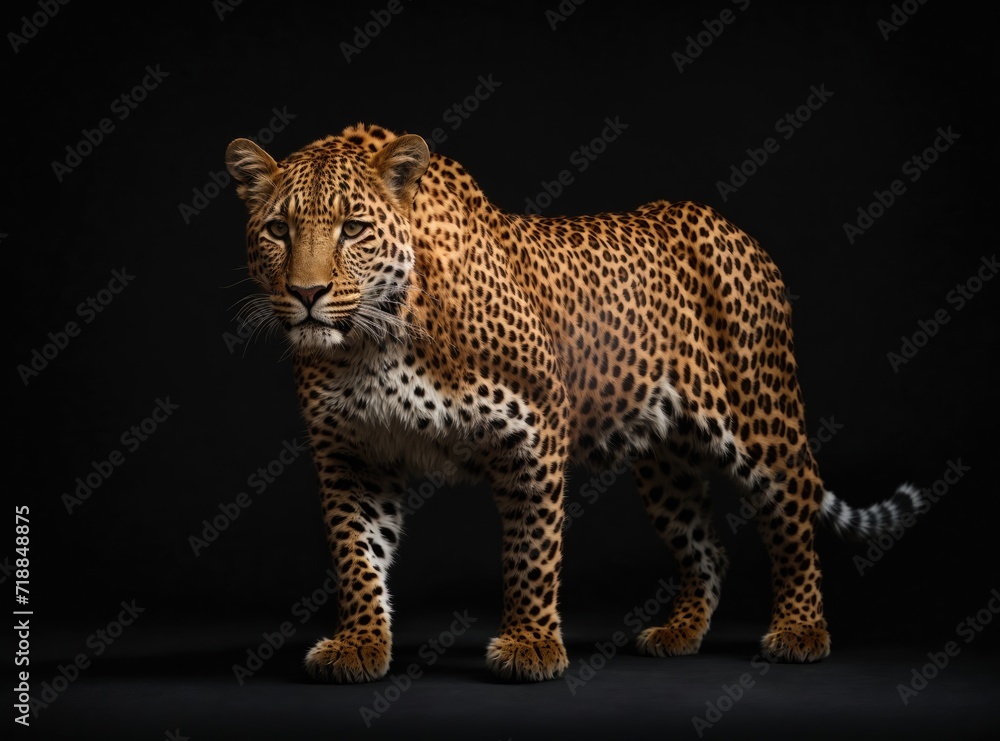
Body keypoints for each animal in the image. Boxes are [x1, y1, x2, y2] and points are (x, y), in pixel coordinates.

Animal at [224, 122, 925, 683]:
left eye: (354, 229)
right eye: (278, 230)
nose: (307, 293)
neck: (374, 342)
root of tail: (733, 229)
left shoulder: (532, 427)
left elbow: (533, 550)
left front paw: (531, 646)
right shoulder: (352, 454)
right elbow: (356, 552)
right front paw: (360, 644)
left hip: (761, 419)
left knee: (794, 524)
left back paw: (801, 631)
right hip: (666, 460)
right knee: (708, 546)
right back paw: (678, 633)